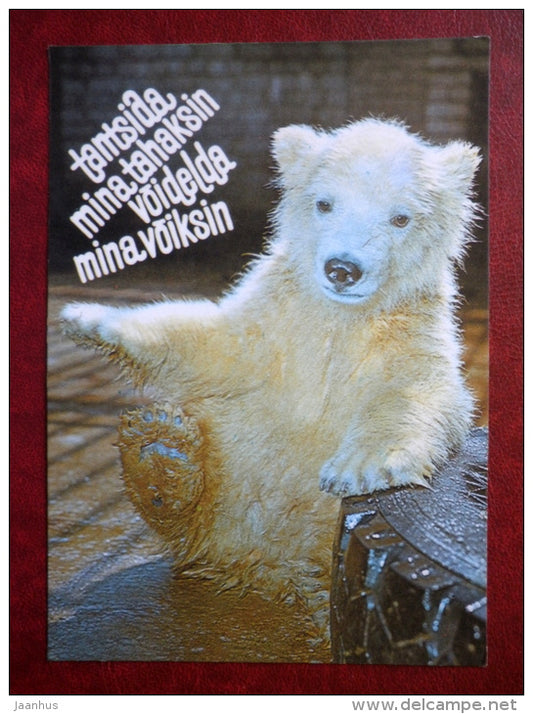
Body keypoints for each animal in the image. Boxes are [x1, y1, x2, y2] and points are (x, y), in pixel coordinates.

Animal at [61, 118, 481, 649]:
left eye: (400, 218)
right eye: (324, 203)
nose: (342, 269)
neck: (340, 319)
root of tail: (270, 567)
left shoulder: (411, 332)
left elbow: (422, 392)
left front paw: (359, 467)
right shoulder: (278, 319)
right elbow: (218, 345)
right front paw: (90, 319)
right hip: (228, 492)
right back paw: (160, 455)